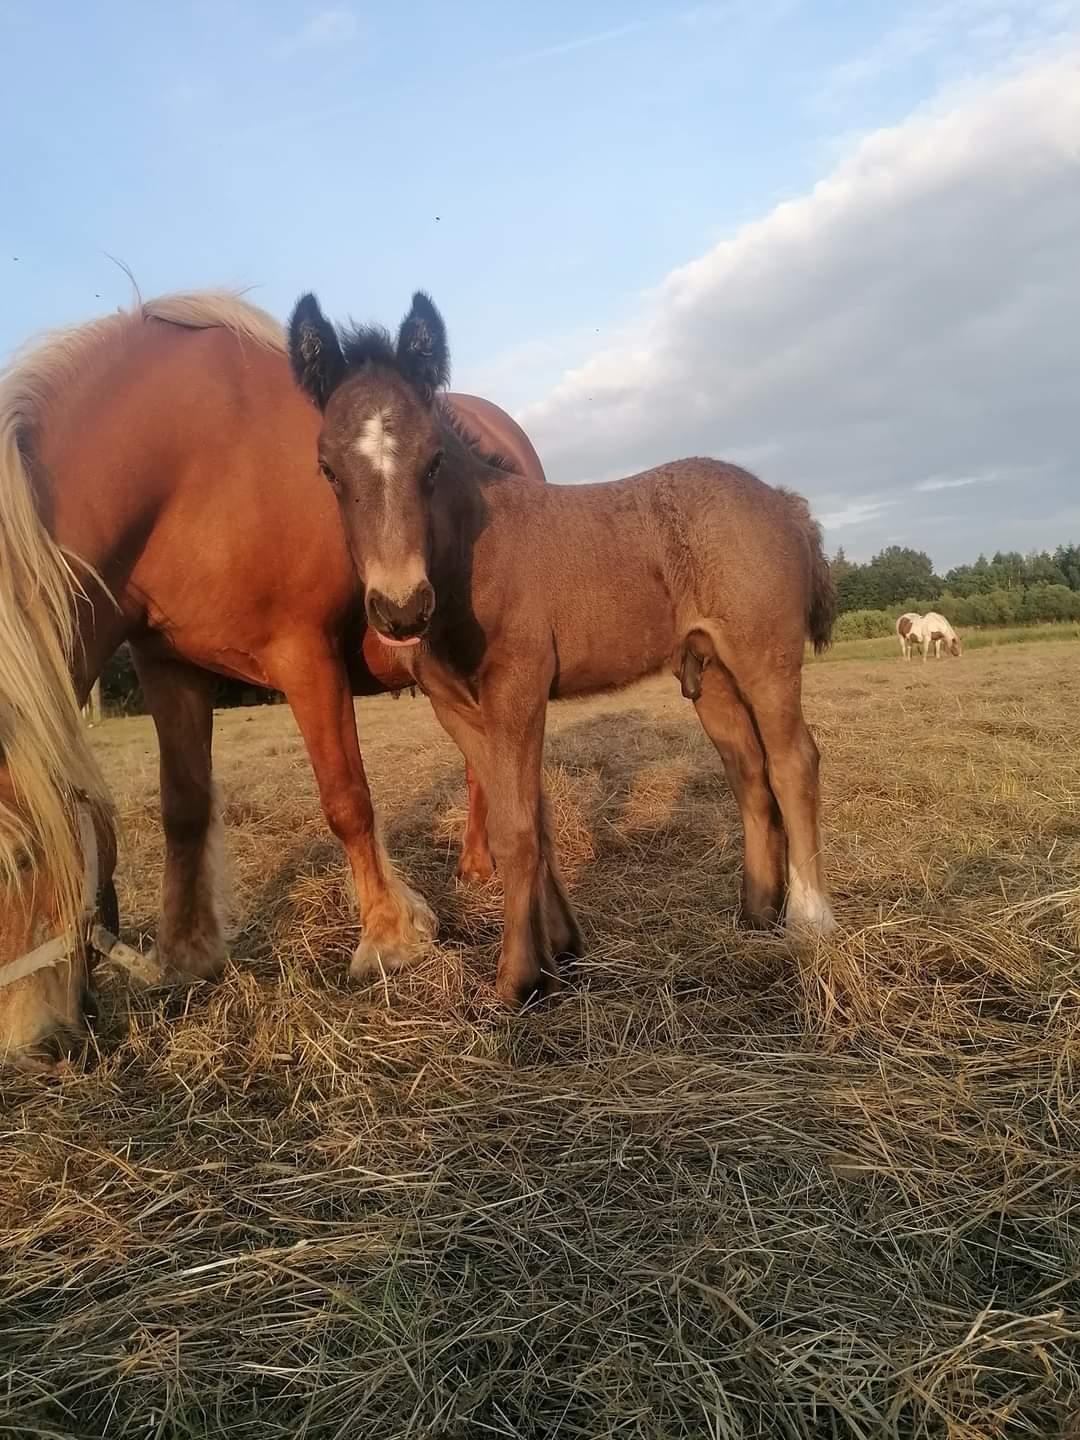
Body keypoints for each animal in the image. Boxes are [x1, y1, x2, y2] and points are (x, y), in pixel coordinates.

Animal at [0, 289, 541, 1071]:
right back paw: (476, 864)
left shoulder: (303, 655)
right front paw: (191, 955)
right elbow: (184, 808)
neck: (186, 463)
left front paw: (390, 938)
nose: (29, 1044)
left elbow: (346, 799)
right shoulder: (169, 666)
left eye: (20, 857)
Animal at [292, 290, 840, 1008]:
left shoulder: (519, 683)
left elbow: (516, 826)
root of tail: (784, 503)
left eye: (432, 461)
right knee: (747, 770)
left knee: (793, 760)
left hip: (764, 656)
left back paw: (809, 920)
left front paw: (519, 979)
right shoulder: (456, 705)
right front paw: (560, 949)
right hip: (711, 670)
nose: (402, 609)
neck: (473, 558)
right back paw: (755, 913)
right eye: (327, 468)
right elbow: (527, 814)